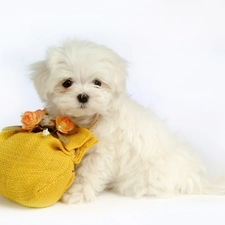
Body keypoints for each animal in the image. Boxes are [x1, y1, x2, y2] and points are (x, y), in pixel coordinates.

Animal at [30, 39, 225, 204]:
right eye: (67, 83)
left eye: (97, 83)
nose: (83, 96)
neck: (88, 119)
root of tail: (194, 178)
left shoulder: (103, 152)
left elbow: (89, 173)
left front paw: (77, 193)